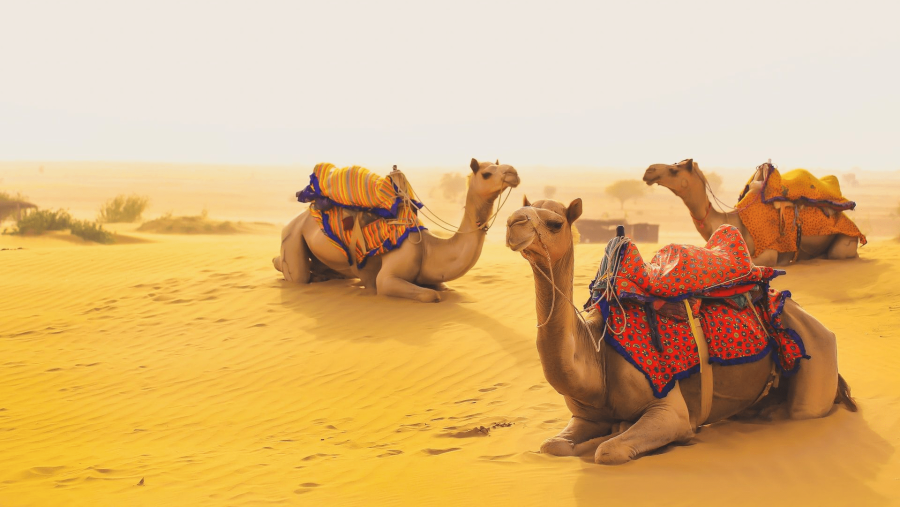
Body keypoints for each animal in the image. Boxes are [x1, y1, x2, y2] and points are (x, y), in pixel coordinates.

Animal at [274, 159, 520, 302]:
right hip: (292, 237)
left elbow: (443, 287)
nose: (514, 173)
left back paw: (324, 276)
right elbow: (432, 295)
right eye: (487, 173)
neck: (429, 248)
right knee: (296, 273)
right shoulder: (389, 277)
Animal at [505, 197, 856, 464]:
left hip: (816, 358)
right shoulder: (585, 417)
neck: (595, 356)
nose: (512, 222)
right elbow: (553, 445)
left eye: (555, 223)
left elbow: (609, 449)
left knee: (803, 409)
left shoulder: (667, 408)